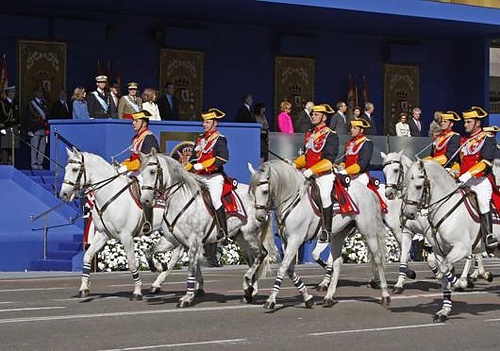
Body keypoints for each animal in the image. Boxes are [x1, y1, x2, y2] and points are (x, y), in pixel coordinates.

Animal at [58, 148, 171, 300]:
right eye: (66, 168)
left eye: (75, 169)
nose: (63, 194)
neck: (110, 194)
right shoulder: (103, 235)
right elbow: (87, 256)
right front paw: (84, 288)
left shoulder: (126, 236)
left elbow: (132, 263)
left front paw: (137, 291)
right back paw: (158, 281)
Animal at [139, 149, 276, 308]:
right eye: (141, 173)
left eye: (153, 171)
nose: (145, 200)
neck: (179, 200)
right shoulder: (172, 240)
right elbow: (149, 252)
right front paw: (159, 266)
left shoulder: (194, 240)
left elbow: (191, 268)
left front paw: (187, 297)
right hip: (241, 238)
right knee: (253, 259)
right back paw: (248, 291)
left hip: (251, 235)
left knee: (262, 254)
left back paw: (248, 282)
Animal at [250, 161, 390, 310]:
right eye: (252, 191)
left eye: (265, 191)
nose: (259, 217)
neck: (293, 200)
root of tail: (369, 192)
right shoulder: (286, 241)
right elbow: (290, 269)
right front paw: (307, 297)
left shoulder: (295, 239)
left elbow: (283, 268)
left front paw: (271, 300)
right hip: (338, 235)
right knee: (337, 263)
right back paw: (329, 297)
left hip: (368, 232)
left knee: (377, 258)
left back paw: (385, 295)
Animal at [404, 160, 498, 322]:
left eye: (418, 186)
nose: (408, 214)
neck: (445, 207)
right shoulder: (439, 251)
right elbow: (444, 275)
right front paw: (444, 311)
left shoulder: (461, 248)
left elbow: (445, 269)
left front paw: (461, 282)